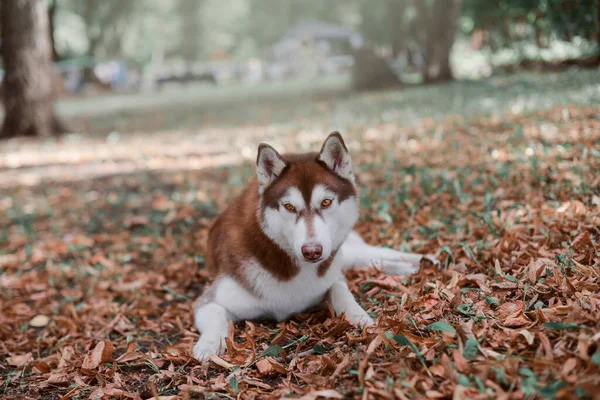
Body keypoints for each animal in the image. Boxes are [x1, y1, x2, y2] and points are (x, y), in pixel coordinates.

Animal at [192, 132, 436, 362]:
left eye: (326, 202)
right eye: (289, 207)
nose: (312, 251)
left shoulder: (329, 278)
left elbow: (340, 290)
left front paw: (360, 316)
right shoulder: (211, 300)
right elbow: (215, 316)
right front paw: (208, 345)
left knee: (378, 253)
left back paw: (423, 260)